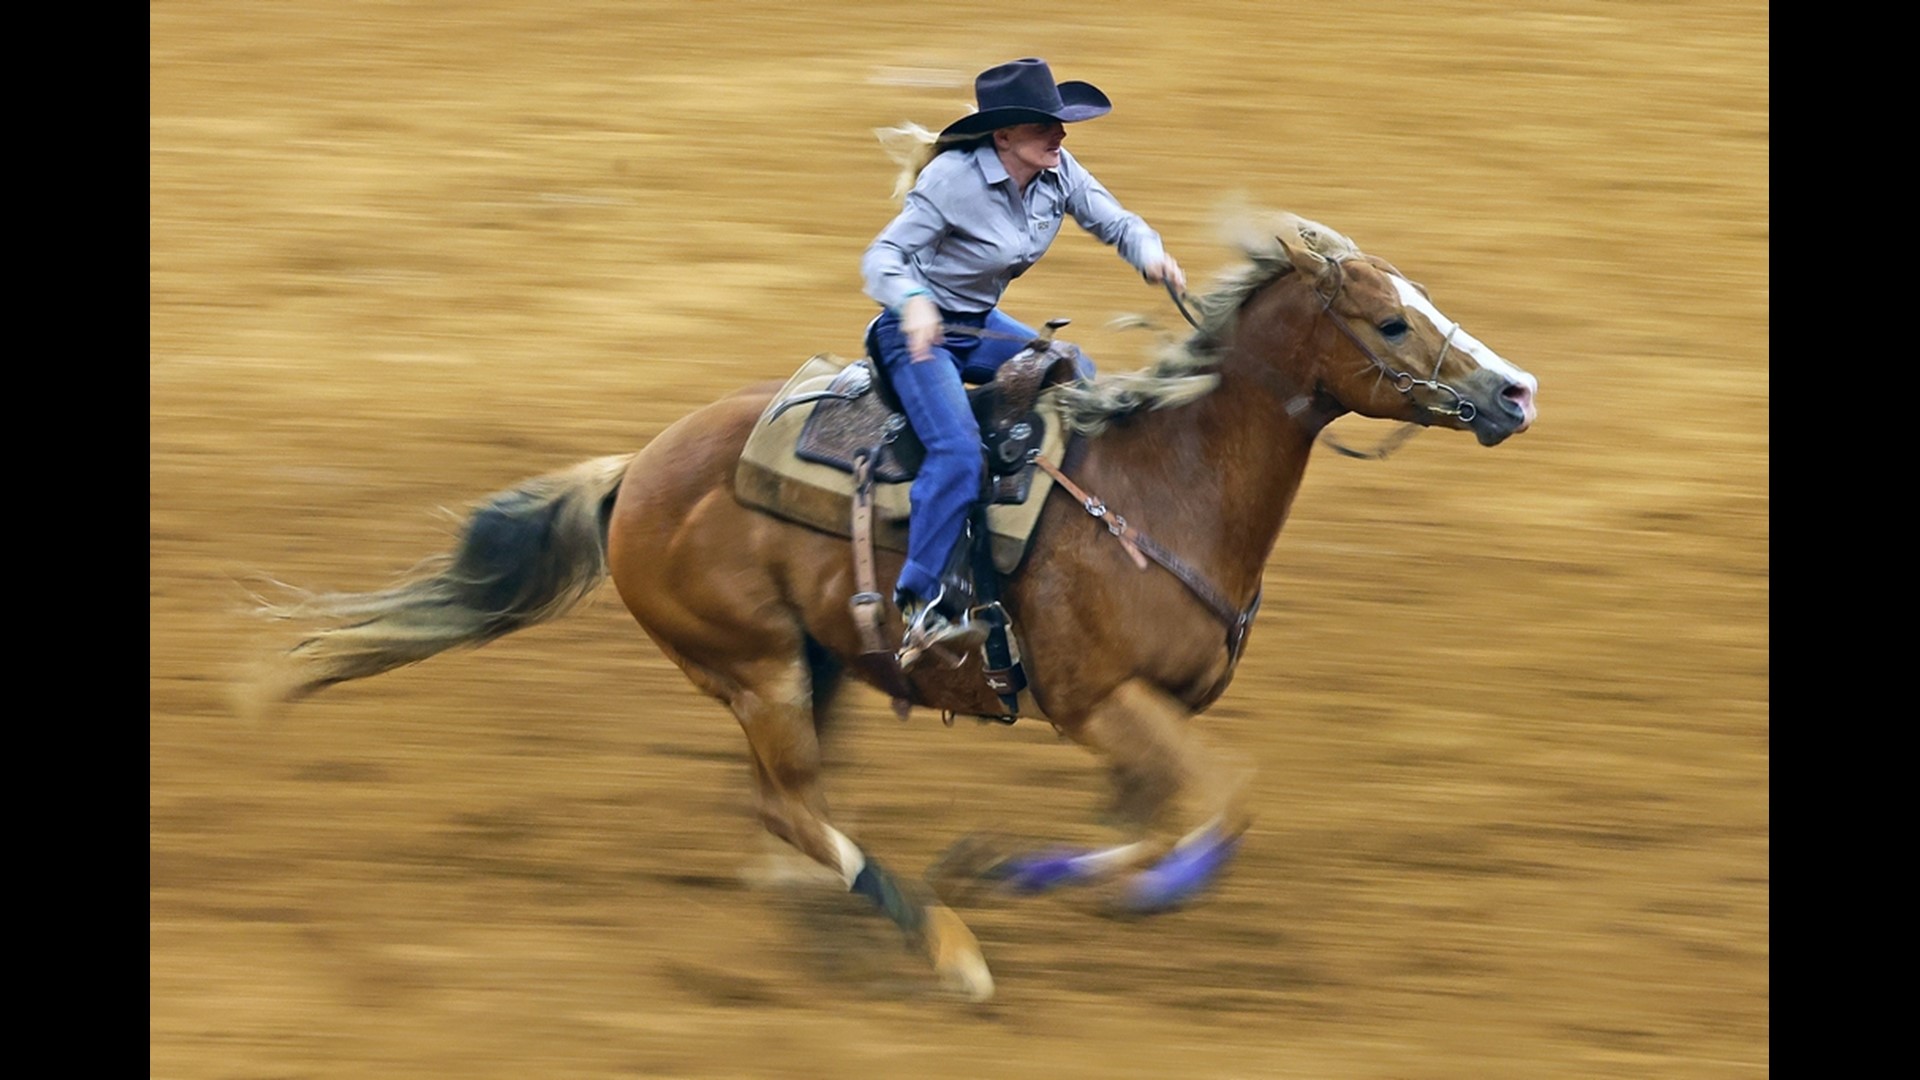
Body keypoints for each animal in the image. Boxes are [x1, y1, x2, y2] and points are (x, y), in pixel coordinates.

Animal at [259, 212, 1543, 999]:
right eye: (1390, 320)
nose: (1515, 391)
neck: (1163, 484)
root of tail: (637, 471)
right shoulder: (1100, 701)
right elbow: (1219, 800)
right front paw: (1030, 882)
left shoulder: (1147, 719)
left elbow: (1177, 816)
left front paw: (1037, 869)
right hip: (758, 665)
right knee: (789, 807)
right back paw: (947, 948)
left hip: (815, 661)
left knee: (789, 813)